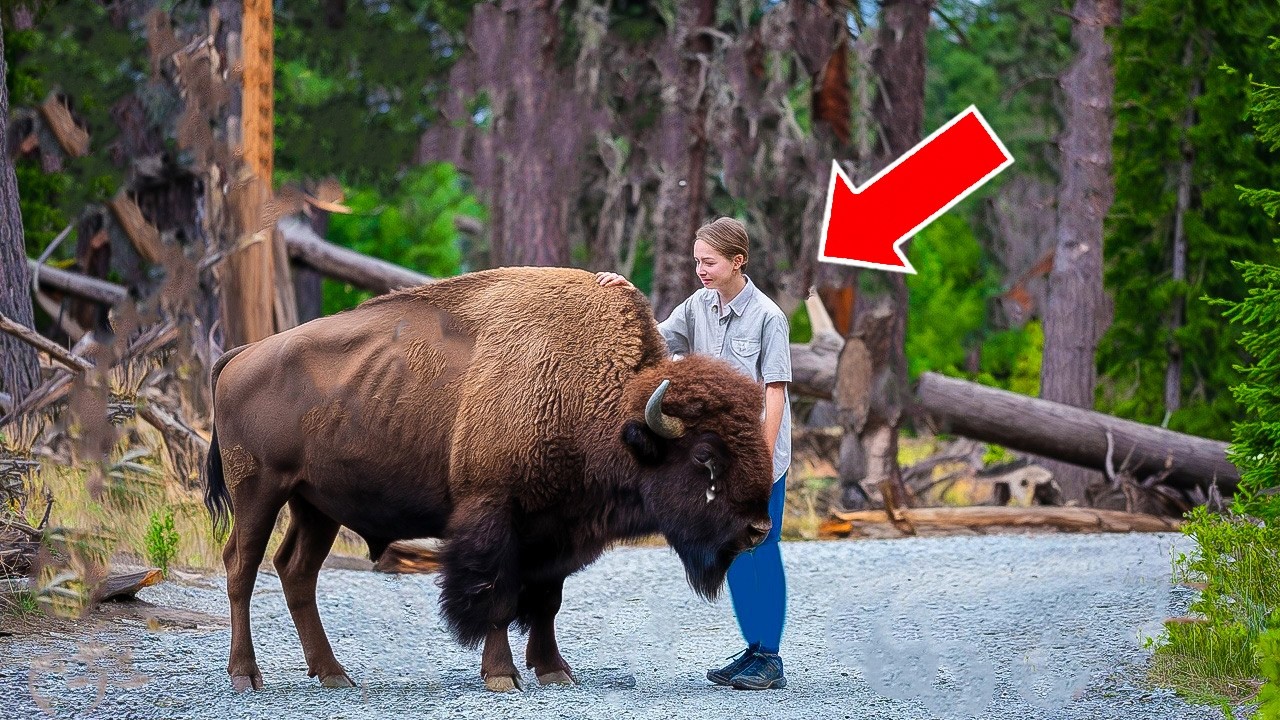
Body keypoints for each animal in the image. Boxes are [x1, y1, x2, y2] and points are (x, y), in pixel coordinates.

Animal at [203, 267, 775, 692]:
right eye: (704, 455)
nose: (758, 530)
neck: (600, 405)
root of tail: (241, 355)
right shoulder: (494, 516)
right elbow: (497, 596)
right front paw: (503, 676)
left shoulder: (557, 529)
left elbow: (546, 602)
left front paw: (554, 671)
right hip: (260, 490)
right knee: (242, 566)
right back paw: (246, 677)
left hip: (316, 504)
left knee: (296, 570)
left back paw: (333, 674)